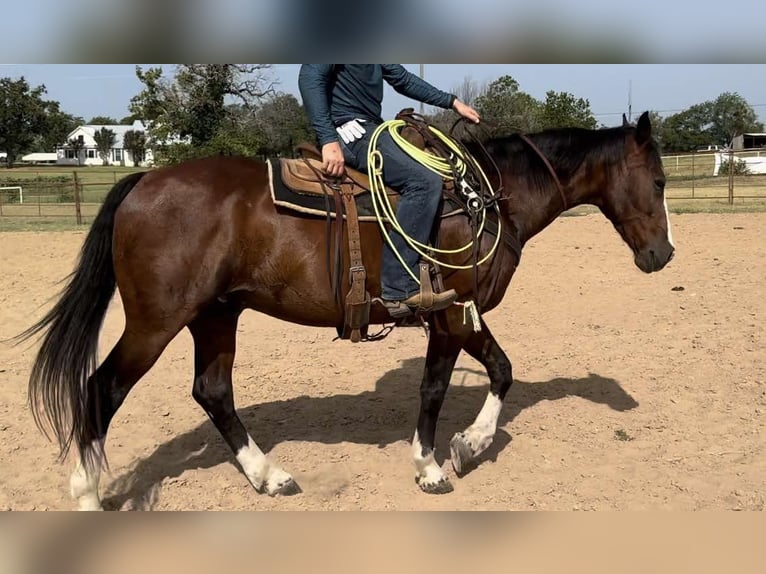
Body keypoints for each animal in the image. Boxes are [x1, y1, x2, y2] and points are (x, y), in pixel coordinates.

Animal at [17, 111, 674, 510]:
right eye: (660, 181)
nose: (662, 254)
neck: (485, 197)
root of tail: (146, 179)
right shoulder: (451, 314)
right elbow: (447, 386)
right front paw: (442, 460)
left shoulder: (459, 316)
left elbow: (490, 373)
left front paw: (460, 448)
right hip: (156, 324)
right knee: (101, 389)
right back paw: (87, 493)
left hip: (216, 316)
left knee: (212, 392)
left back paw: (268, 475)